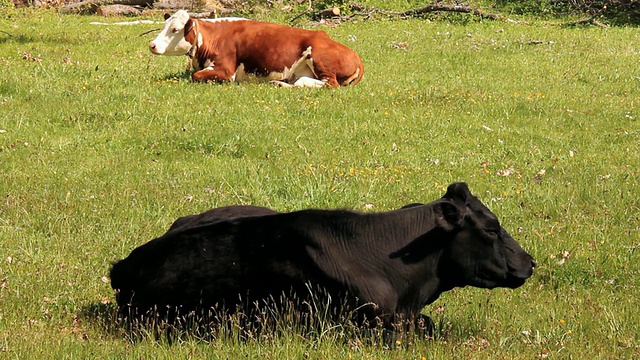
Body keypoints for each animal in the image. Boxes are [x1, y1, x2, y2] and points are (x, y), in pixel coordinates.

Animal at [147, 9, 362, 88]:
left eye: (175, 29)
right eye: (164, 26)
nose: (152, 45)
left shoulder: (226, 70)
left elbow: (196, 75)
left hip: (321, 60)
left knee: (327, 84)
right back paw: (279, 83)